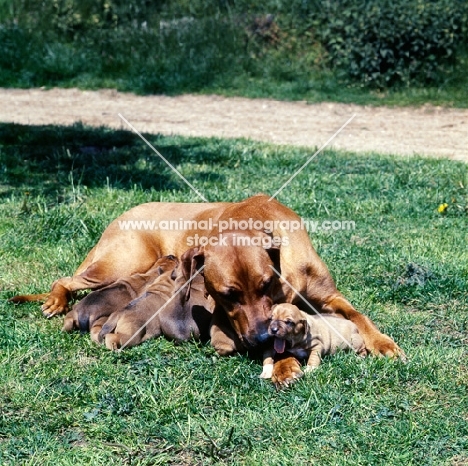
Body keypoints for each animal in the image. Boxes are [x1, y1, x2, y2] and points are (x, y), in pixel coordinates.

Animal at [11, 194, 406, 386]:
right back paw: (56, 300)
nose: (260, 338)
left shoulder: (327, 294)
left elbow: (358, 313)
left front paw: (382, 342)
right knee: (64, 280)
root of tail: (123, 214)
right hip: (117, 265)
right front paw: (282, 365)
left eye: (266, 285)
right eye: (227, 295)